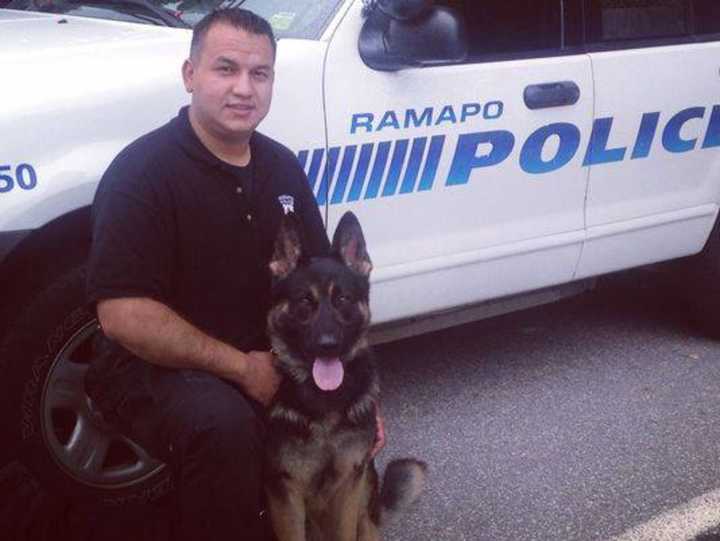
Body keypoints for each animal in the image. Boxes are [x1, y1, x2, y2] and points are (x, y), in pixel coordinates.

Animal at [266, 211, 428, 540]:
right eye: (304, 302)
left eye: (343, 299)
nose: (328, 345)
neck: (325, 403)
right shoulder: (286, 494)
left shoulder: (348, 488)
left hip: (365, 511)